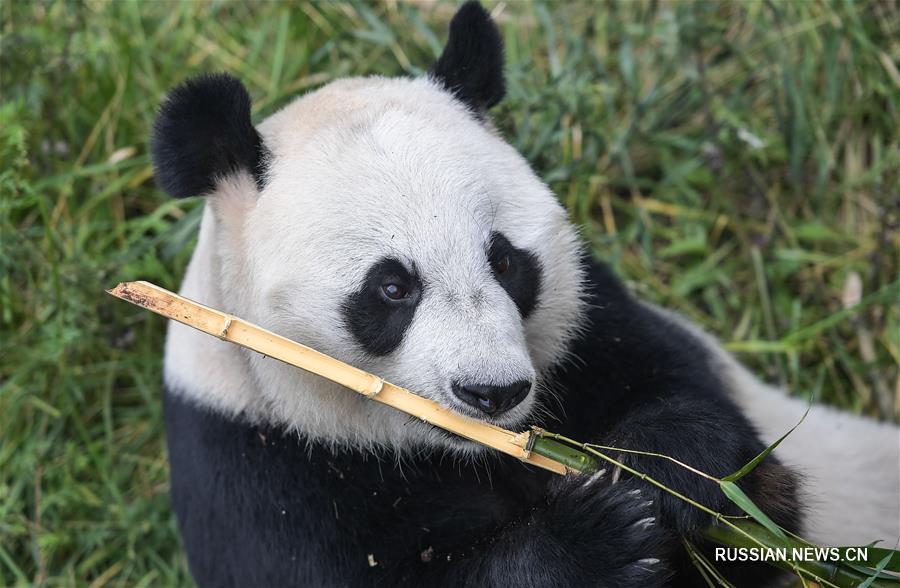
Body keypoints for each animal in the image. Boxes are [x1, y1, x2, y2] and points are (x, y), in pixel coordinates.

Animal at [151, 2, 896, 584]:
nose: (494, 392)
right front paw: (597, 540)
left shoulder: (599, 330)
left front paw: (663, 471)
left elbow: (723, 453)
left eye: (505, 261)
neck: (466, 451)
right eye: (391, 287)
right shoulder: (259, 464)